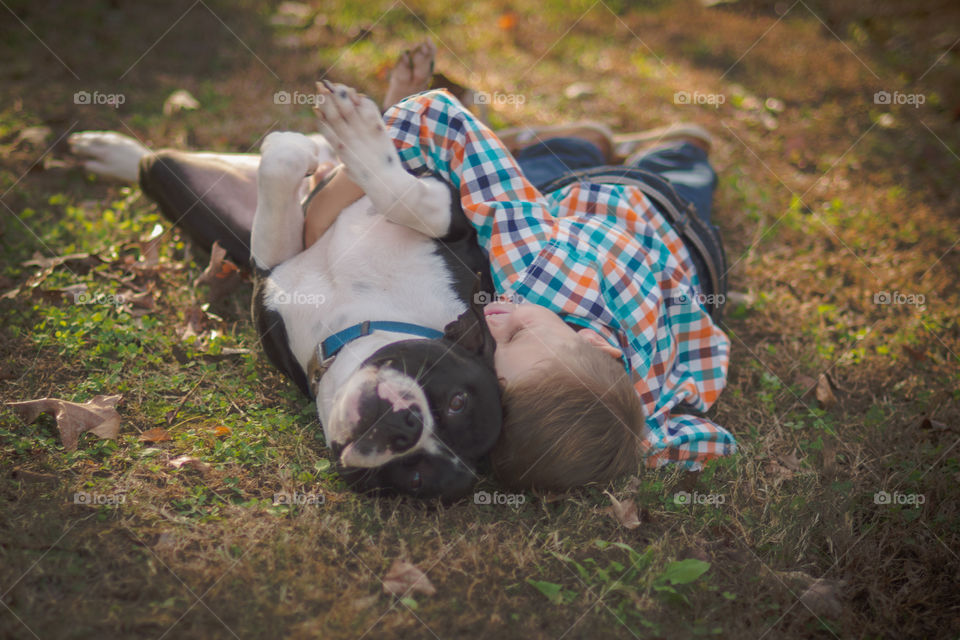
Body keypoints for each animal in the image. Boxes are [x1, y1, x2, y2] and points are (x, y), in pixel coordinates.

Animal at [67, 81, 502, 500]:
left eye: (414, 477)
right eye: (456, 401)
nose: (408, 429)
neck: (359, 318)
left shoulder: (269, 269)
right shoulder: (453, 215)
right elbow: (407, 199)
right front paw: (343, 137)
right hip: (172, 177)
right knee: (155, 160)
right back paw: (108, 150)